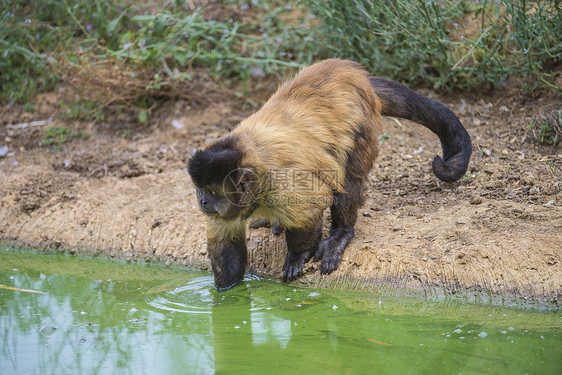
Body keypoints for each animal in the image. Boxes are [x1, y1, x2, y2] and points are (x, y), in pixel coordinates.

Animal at [187, 58, 468, 290]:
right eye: (200, 190)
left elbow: (310, 209)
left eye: (211, 192)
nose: (202, 201)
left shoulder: (281, 181)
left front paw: (298, 255)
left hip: (363, 121)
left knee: (348, 179)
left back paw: (341, 232)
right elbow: (226, 249)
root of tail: (355, 73)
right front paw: (226, 294)